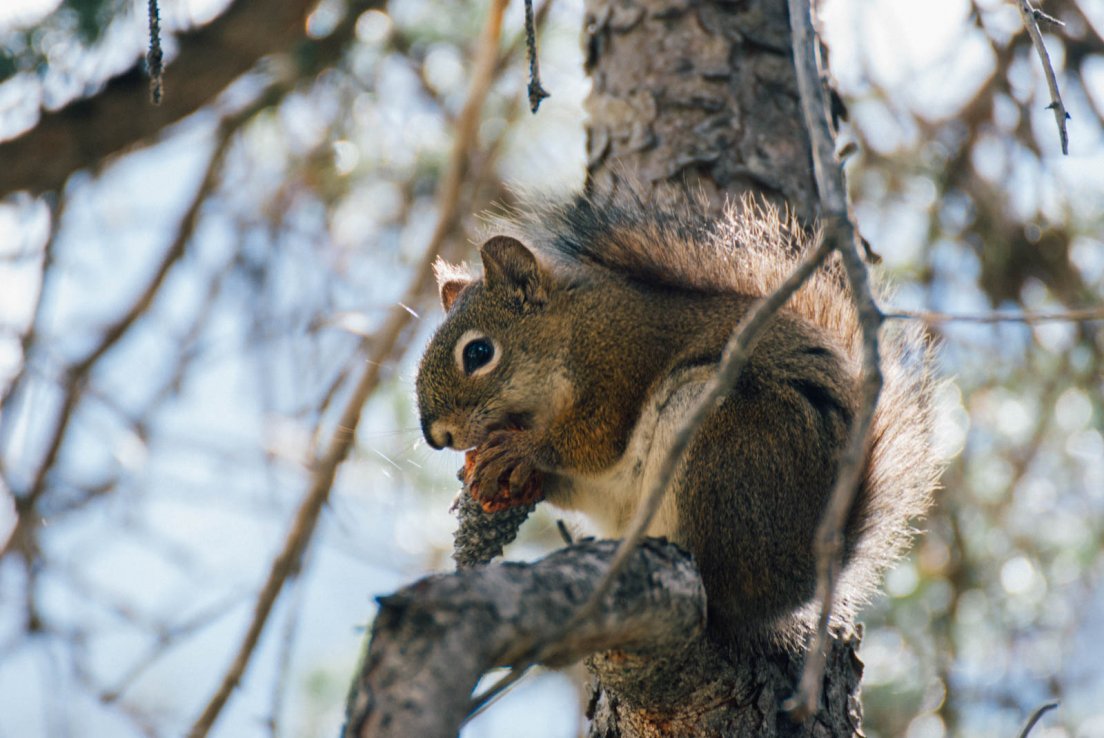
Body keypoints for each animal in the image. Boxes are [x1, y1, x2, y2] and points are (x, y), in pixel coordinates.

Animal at [415, 195, 940, 649]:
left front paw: (519, 451)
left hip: (727, 449)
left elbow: (593, 442)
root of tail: (805, 575)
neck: (573, 328)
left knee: (718, 589)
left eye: (478, 353)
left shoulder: (618, 367)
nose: (436, 437)